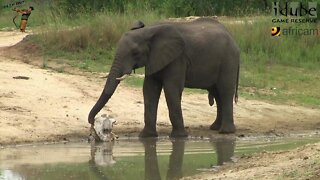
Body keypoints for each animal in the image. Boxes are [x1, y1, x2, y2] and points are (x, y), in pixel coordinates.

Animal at [89, 17, 239, 137]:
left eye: (135, 52)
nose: (92, 122)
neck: (149, 31)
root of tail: (233, 38)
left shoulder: (177, 58)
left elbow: (171, 89)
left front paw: (179, 137)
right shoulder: (154, 58)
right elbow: (149, 90)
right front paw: (146, 136)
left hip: (228, 61)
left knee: (225, 91)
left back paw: (225, 132)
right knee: (217, 93)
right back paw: (215, 128)